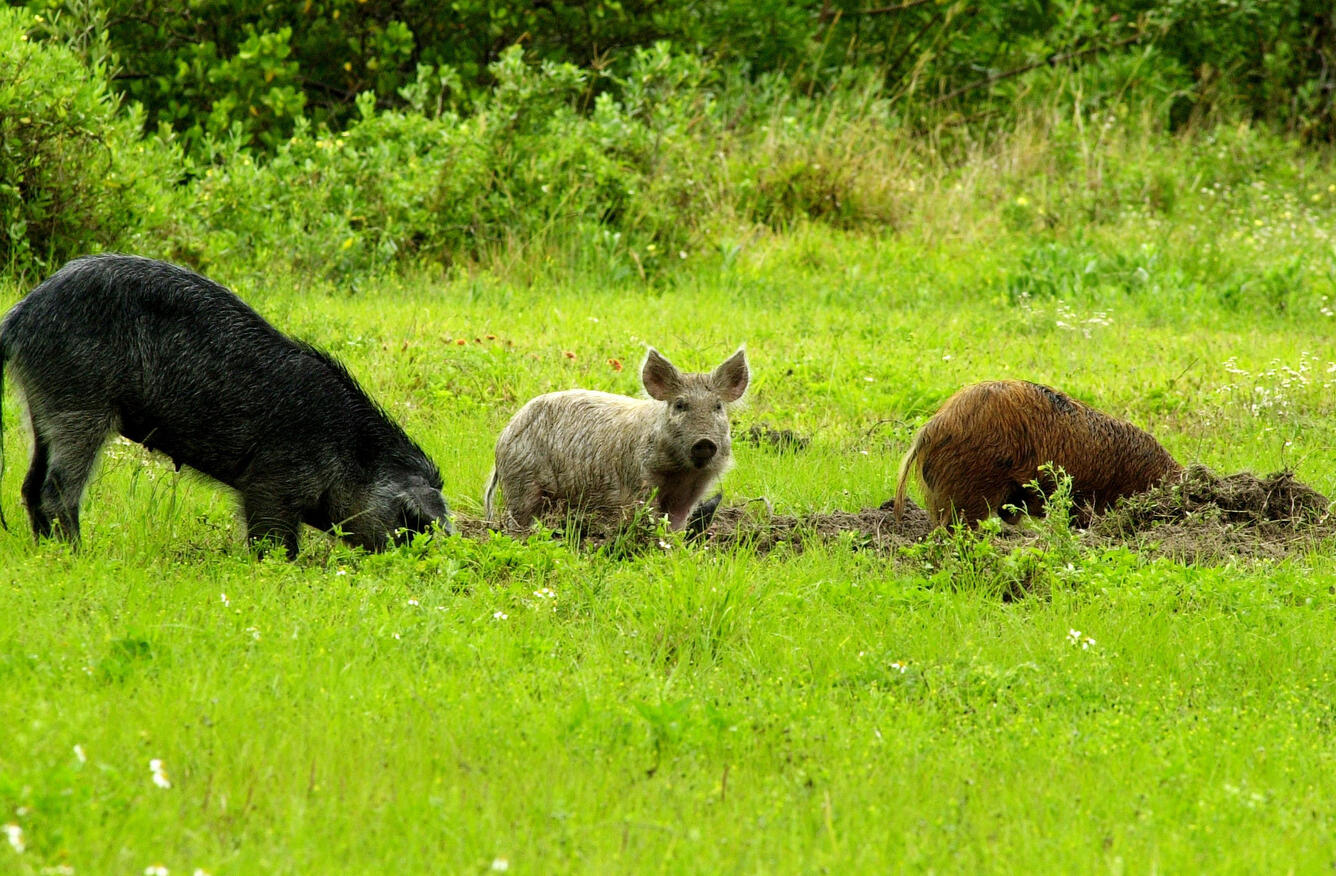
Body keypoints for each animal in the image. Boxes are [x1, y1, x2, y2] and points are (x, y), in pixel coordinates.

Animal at [0, 253, 450, 557]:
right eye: (410, 522)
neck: (351, 452)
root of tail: (19, 316)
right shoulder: (271, 479)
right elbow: (272, 537)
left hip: (40, 406)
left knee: (30, 484)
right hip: (79, 402)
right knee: (57, 487)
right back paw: (78, 555)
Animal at [485, 346, 749, 532]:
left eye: (717, 406)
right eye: (680, 405)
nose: (704, 441)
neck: (681, 472)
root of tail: (503, 437)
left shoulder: (694, 488)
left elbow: (676, 521)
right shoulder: (640, 478)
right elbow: (648, 513)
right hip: (522, 477)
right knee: (518, 517)